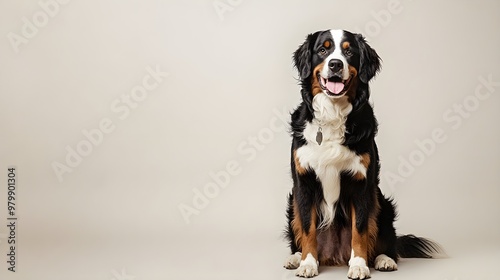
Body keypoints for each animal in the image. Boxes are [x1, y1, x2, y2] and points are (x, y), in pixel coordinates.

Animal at [284, 29, 444, 278]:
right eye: (323, 50)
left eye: (349, 51)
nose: (336, 64)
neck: (332, 115)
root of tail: (334, 255)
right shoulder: (303, 183)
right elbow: (308, 228)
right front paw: (307, 263)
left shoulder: (361, 184)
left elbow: (359, 229)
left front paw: (359, 265)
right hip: (292, 202)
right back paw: (295, 257)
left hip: (382, 202)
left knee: (385, 241)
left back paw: (384, 259)